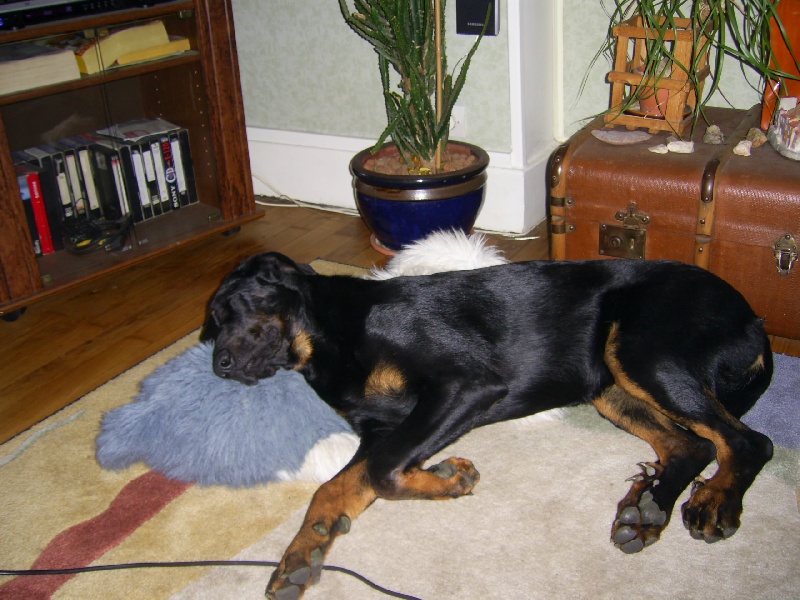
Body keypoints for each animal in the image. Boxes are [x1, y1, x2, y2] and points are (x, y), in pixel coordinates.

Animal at [203, 251, 774, 600]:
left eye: (231, 308)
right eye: (213, 321)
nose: (219, 366)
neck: (327, 339)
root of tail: (755, 321)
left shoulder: (464, 384)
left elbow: (385, 473)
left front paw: (451, 477)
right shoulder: (381, 430)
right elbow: (334, 487)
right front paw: (302, 554)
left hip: (643, 350)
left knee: (747, 442)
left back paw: (713, 503)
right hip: (609, 386)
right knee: (691, 446)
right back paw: (646, 510)